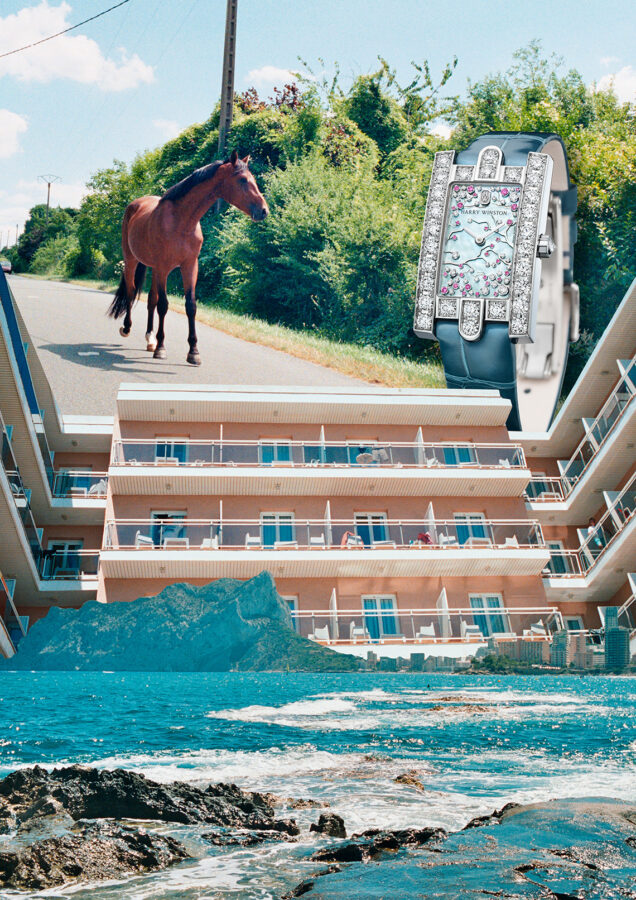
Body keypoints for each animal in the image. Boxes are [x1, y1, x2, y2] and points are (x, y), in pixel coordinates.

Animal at [108, 152, 268, 366]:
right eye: (242, 179)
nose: (264, 210)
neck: (181, 221)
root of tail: (135, 204)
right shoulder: (163, 267)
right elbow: (163, 305)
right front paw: (161, 348)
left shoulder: (190, 266)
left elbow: (190, 306)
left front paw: (193, 352)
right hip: (132, 261)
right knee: (132, 291)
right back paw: (127, 328)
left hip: (152, 268)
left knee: (150, 299)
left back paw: (150, 339)